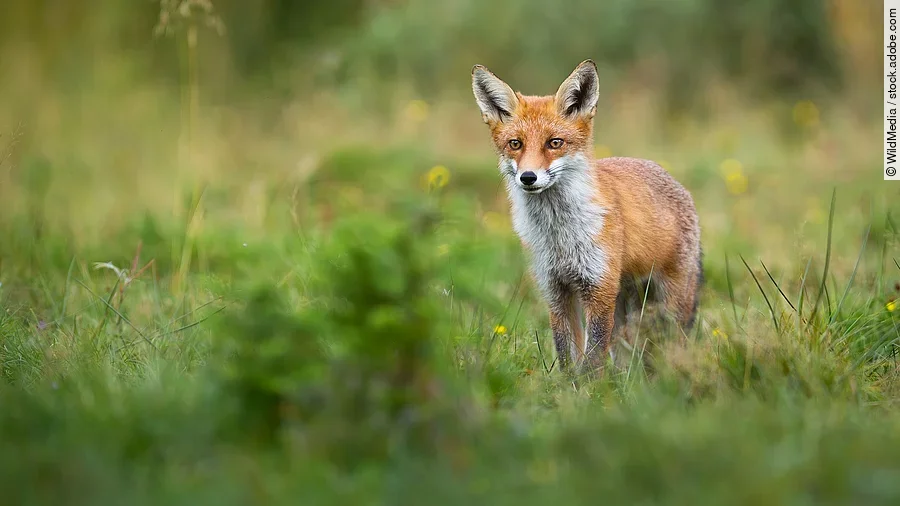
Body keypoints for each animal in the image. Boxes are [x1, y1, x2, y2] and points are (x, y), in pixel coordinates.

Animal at [470, 59, 703, 373]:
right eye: (515, 144)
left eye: (554, 143)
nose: (528, 177)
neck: (559, 234)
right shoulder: (555, 289)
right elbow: (567, 354)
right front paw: (568, 387)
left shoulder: (598, 286)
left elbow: (592, 359)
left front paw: (591, 387)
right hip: (623, 305)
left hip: (670, 301)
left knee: (672, 343)